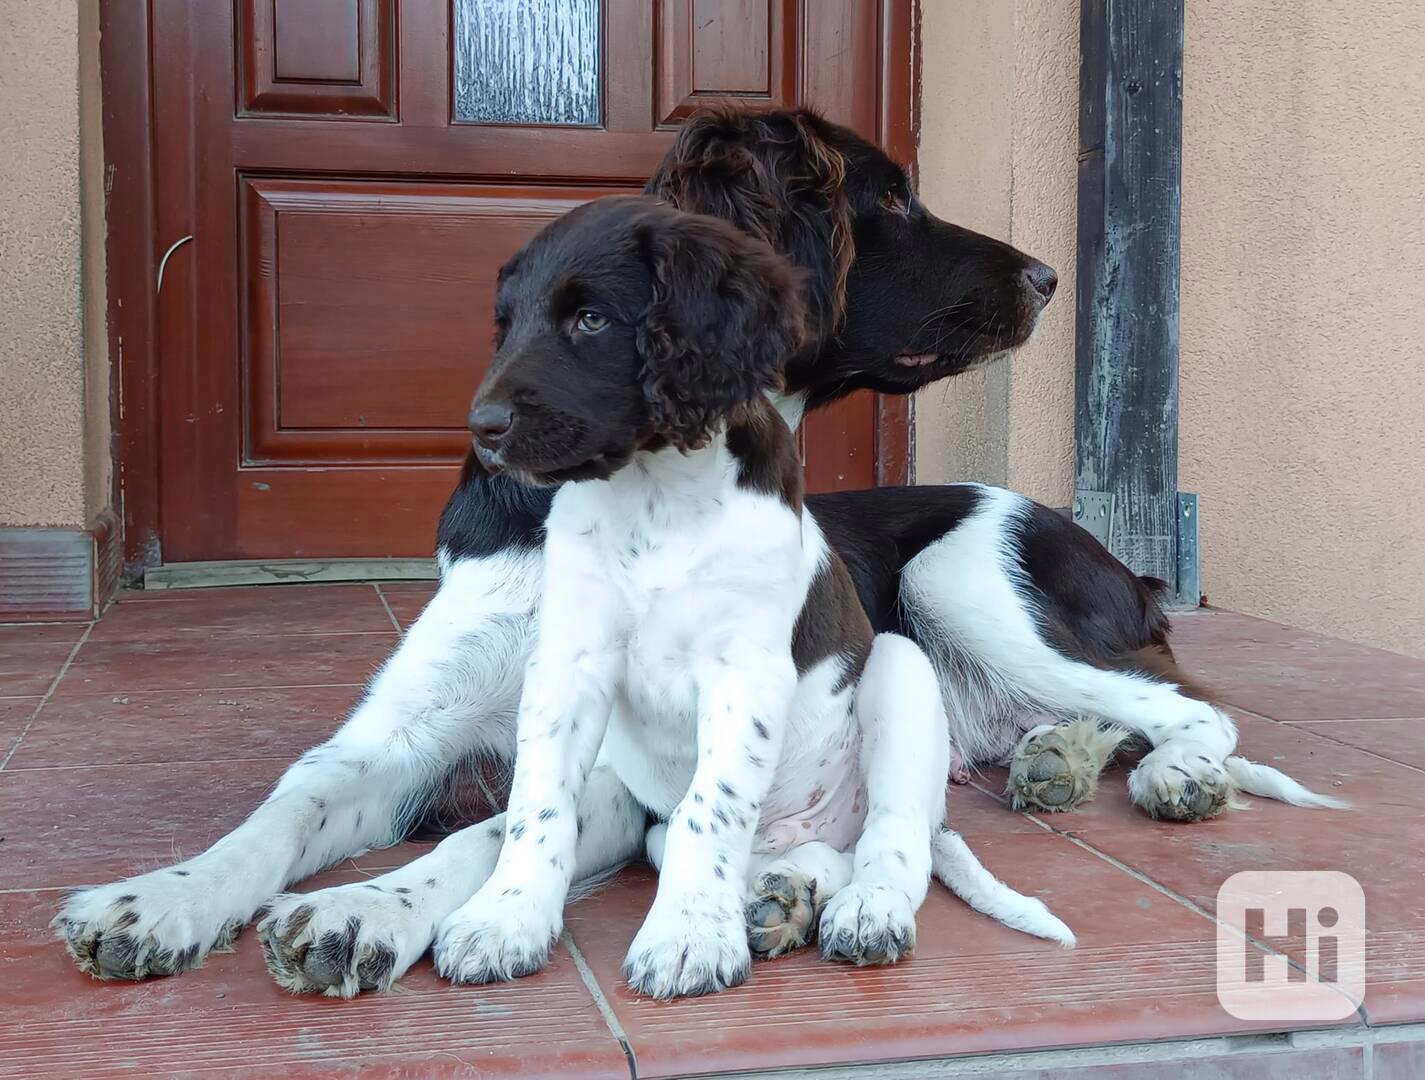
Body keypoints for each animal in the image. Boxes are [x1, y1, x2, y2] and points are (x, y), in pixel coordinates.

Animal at [55, 105, 1339, 991]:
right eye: (892, 200)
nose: (1047, 274)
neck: (622, 498)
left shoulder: (615, 773)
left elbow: (488, 827)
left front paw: (365, 910)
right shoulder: (404, 733)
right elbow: (283, 809)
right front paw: (153, 903)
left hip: (961, 573)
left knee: (1190, 708)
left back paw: (1170, 776)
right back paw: (1052, 762)